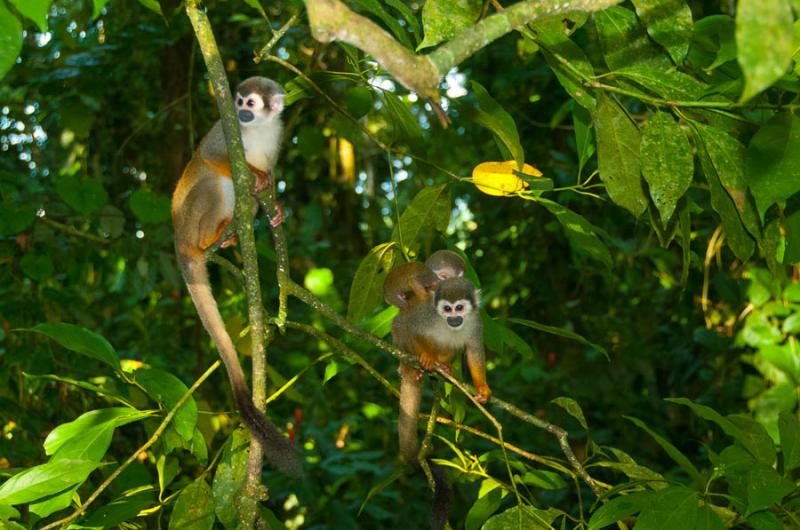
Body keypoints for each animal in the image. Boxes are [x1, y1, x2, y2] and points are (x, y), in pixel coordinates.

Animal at [172, 75, 300, 474]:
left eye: (252, 104)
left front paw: (275, 203)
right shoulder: (224, 130)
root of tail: (178, 241)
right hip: (189, 219)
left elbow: (269, 182)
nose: (241, 110)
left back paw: (229, 237)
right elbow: (210, 155)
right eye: (239, 101)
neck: (256, 129)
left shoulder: (278, 133)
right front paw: (256, 176)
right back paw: (210, 239)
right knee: (214, 182)